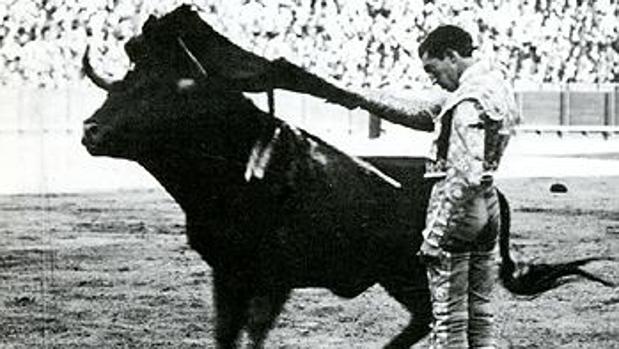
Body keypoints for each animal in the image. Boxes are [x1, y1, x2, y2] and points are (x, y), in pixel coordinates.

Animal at [80, 6, 612, 348]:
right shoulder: (228, 272)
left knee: (436, 318)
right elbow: (226, 335)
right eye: (120, 86)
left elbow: (252, 335)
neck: (241, 172)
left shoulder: (272, 280)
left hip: (412, 270)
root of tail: (495, 189)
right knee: (438, 319)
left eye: (161, 93)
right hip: (405, 275)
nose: (89, 130)